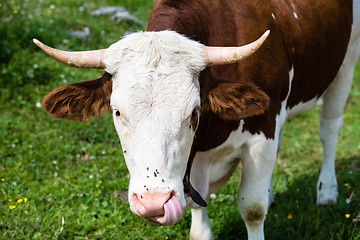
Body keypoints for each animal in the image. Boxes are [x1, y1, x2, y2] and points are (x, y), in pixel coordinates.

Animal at [32, 0, 358, 239]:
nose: (153, 203)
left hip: (346, 60)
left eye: (194, 112)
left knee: (330, 127)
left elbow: (253, 209)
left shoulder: (262, 131)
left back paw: (327, 193)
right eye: (117, 111)